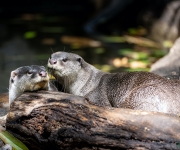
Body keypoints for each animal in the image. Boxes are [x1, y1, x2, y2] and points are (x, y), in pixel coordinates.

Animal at [48, 51, 180, 115]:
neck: (87, 83)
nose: (52, 61)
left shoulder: (97, 96)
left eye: (64, 59)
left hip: (143, 92)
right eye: (50, 56)